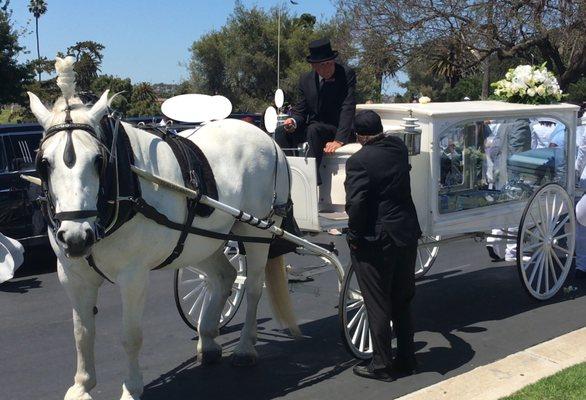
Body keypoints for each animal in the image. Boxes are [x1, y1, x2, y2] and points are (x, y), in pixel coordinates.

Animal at [27, 85, 296, 400]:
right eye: (44, 163)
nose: (76, 237)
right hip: (203, 240)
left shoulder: (133, 276)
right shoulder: (73, 275)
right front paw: (82, 386)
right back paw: (209, 340)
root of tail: (269, 139)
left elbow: (130, 336)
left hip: (256, 231)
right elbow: (82, 332)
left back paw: (244, 348)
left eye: (98, 160)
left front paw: (131, 387)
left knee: (253, 287)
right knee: (224, 276)